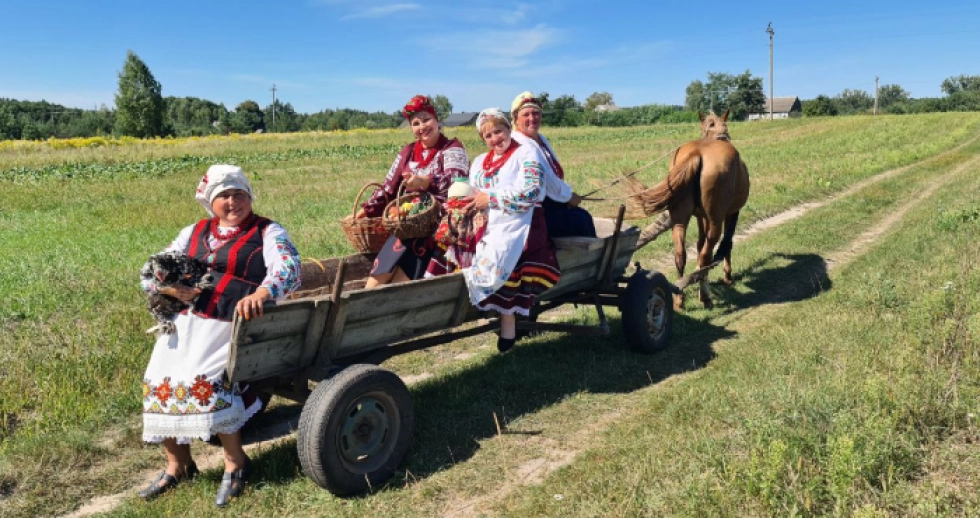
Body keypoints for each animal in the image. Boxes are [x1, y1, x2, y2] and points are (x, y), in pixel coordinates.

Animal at [632, 110, 748, 308]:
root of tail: (696, 153)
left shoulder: (700, 216)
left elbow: (700, 243)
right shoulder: (732, 212)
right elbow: (727, 243)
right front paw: (728, 276)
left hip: (680, 218)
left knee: (680, 254)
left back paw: (680, 298)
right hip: (716, 219)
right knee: (707, 254)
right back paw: (705, 296)